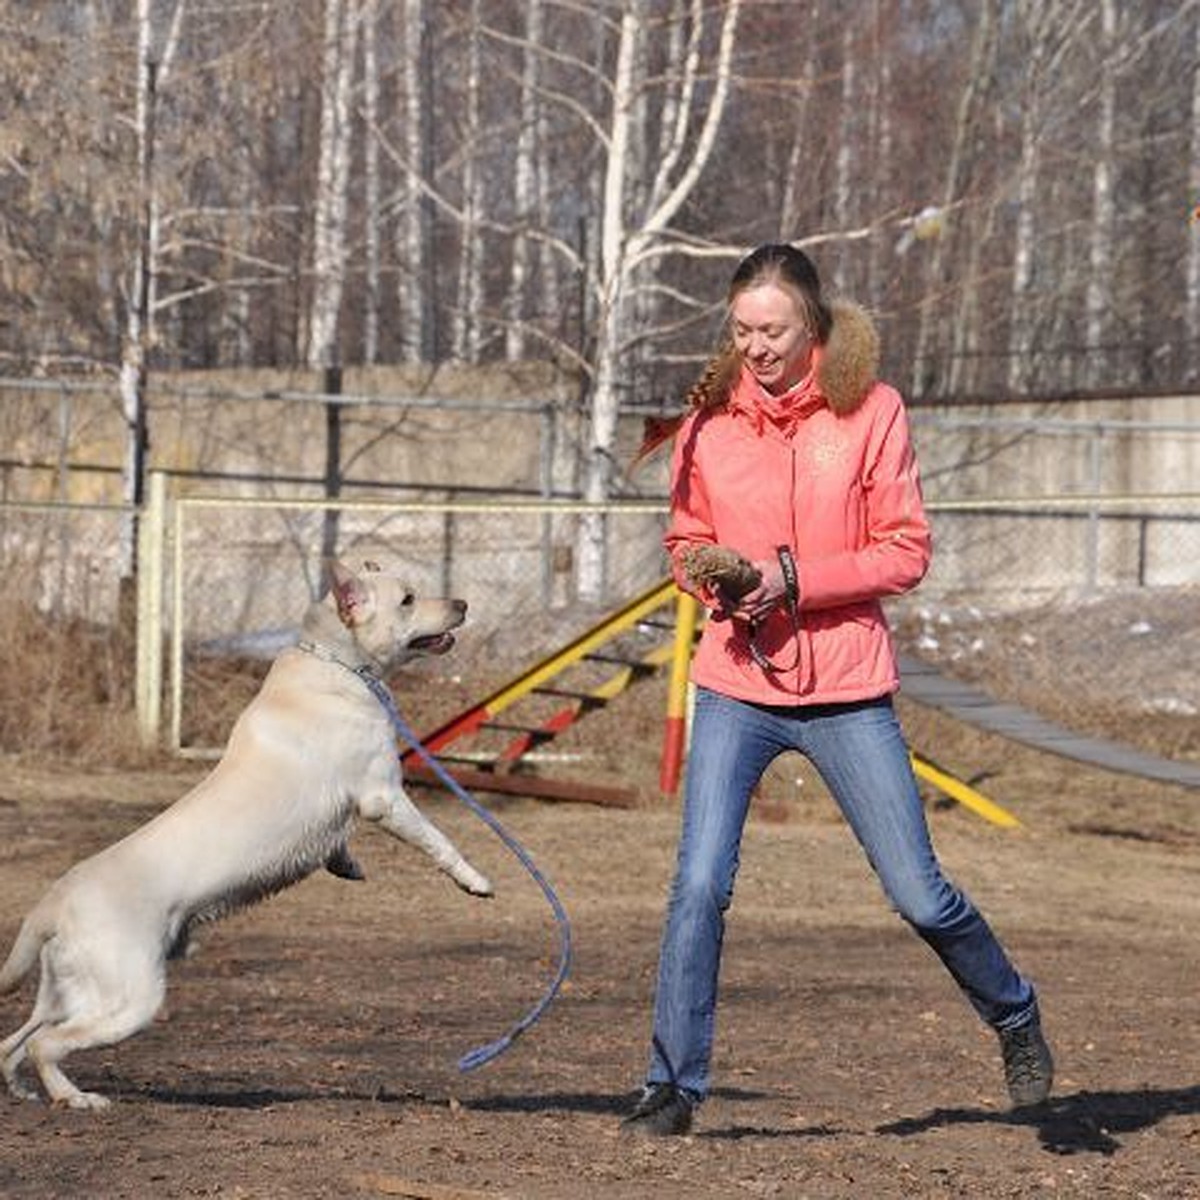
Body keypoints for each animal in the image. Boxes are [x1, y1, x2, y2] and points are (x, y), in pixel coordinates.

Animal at [1, 556, 492, 1108]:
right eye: (408, 599)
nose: (463, 604)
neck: (335, 661)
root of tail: (54, 902)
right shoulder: (382, 795)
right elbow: (439, 840)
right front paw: (474, 881)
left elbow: (340, 846)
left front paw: (347, 865)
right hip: (129, 999)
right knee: (44, 1044)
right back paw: (76, 1098)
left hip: (68, 993)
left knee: (13, 1041)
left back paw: (23, 1091)